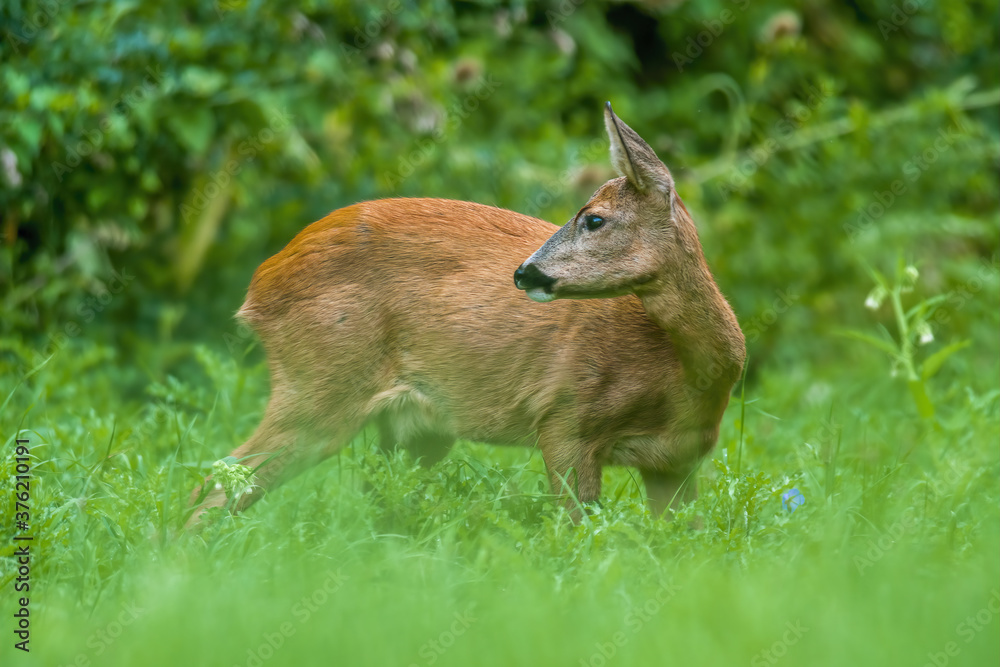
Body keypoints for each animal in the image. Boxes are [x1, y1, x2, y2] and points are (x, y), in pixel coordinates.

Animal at [187, 103, 745, 527]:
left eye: (593, 219)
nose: (524, 272)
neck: (682, 376)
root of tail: (260, 286)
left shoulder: (678, 461)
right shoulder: (565, 418)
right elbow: (578, 531)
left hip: (414, 428)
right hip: (320, 385)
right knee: (216, 482)